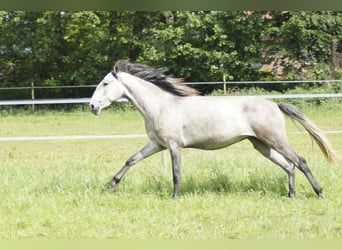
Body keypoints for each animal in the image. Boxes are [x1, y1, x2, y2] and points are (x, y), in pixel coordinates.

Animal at [89, 60, 336, 197]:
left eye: (105, 83)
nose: (92, 106)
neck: (161, 106)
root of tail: (275, 104)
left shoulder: (174, 146)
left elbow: (176, 173)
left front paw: (175, 197)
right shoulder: (156, 145)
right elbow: (131, 160)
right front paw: (110, 187)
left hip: (275, 139)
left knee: (300, 161)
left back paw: (319, 192)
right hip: (261, 145)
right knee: (288, 166)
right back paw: (290, 195)